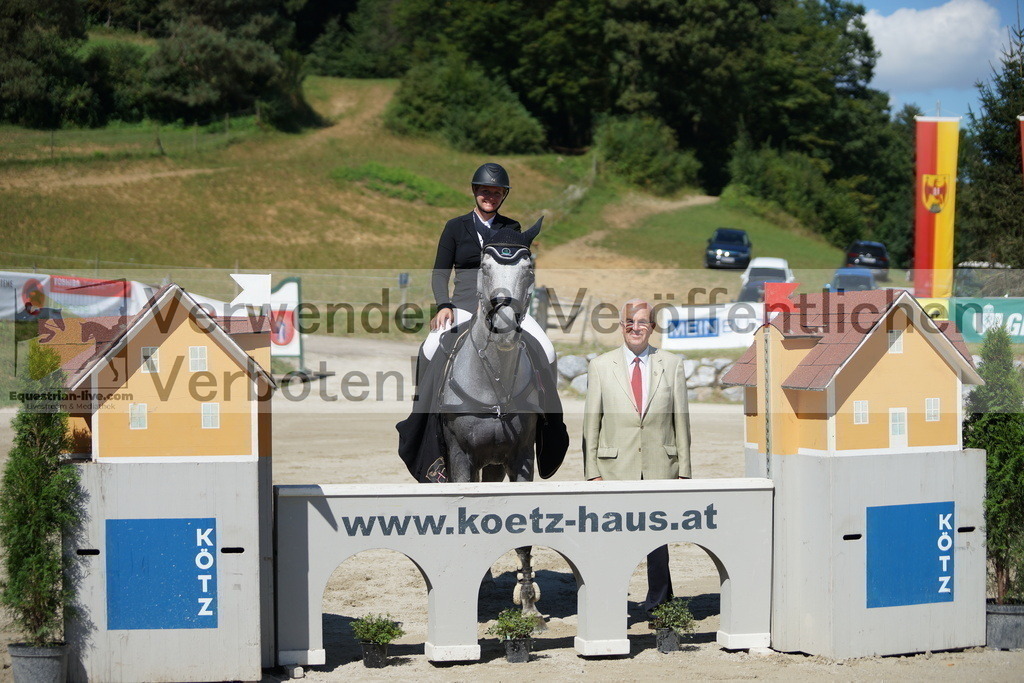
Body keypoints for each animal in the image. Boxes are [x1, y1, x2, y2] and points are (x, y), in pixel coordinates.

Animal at [442, 218, 552, 626]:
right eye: (485, 267)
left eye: (529, 269)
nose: (504, 324)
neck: (494, 381)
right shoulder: (459, 457)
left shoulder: (521, 458)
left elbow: (522, 536)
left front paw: (529, 606)